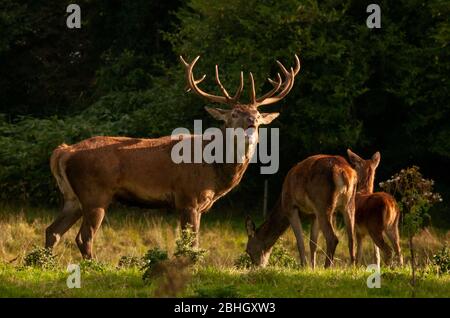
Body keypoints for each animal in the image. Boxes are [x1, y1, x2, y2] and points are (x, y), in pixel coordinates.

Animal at [45, 54, 300, 258]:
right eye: (235, 114)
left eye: (257, 113)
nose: (252, 123)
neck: (214, 169)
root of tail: (64, 151)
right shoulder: (188, 198)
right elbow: (191, 245)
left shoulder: (198, 205)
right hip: (96, 194)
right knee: (83, 237)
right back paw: (94, 267)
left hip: (74, 198)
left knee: (53, 231)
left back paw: (46, 264)